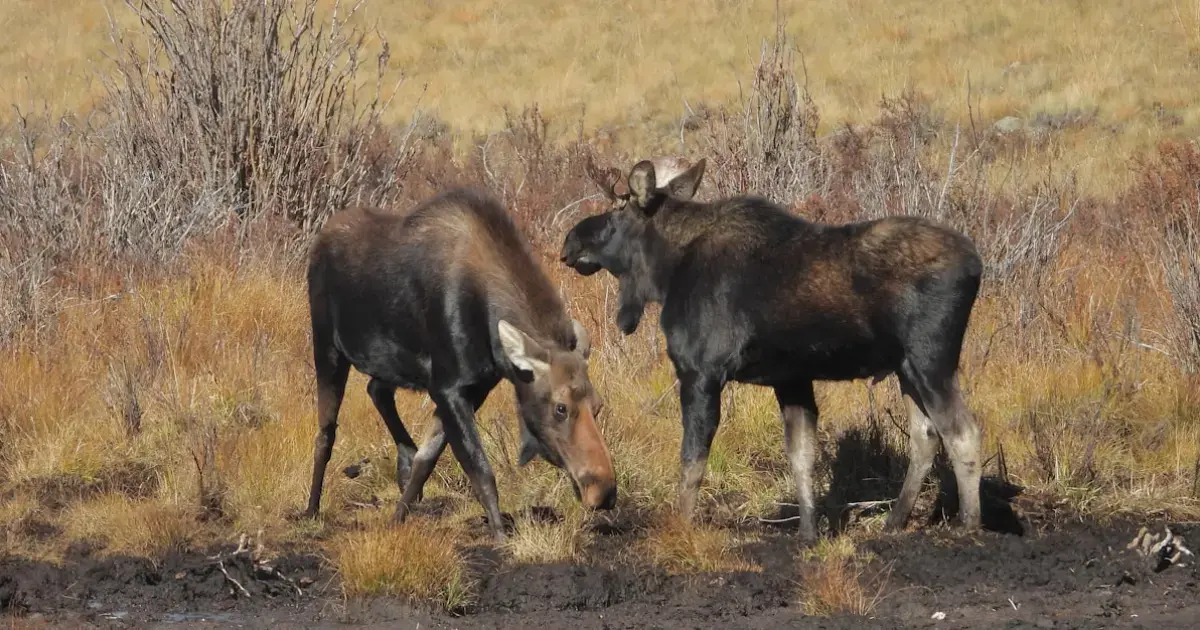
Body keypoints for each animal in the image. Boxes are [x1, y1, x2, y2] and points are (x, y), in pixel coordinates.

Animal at [305, 187, 617, 541]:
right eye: (560, 408)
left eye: (598, 406)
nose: (604, 491)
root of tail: (320, 239)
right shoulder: (448, 387)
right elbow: (480, 470)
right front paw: (500, 536)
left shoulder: (473, 389)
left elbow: (427, 460)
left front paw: (398, 516)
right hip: (327, 347)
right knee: (326, 433)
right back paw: (312, 508)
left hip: (390, 362)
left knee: (376, 390)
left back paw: (402, 462)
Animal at [560, 157, 984, 543]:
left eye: (617, 208)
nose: (569, 241)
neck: (667, 271)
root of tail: (978, 265)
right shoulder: (791, 379)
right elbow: (801, 457)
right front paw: (808, 533)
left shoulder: (700, 371)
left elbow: (692, 459)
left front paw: (680, 527)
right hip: (906, 367)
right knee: (926, 437)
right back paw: (895, 522)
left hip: (932, 360)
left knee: (963, 433)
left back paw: (969, 526)